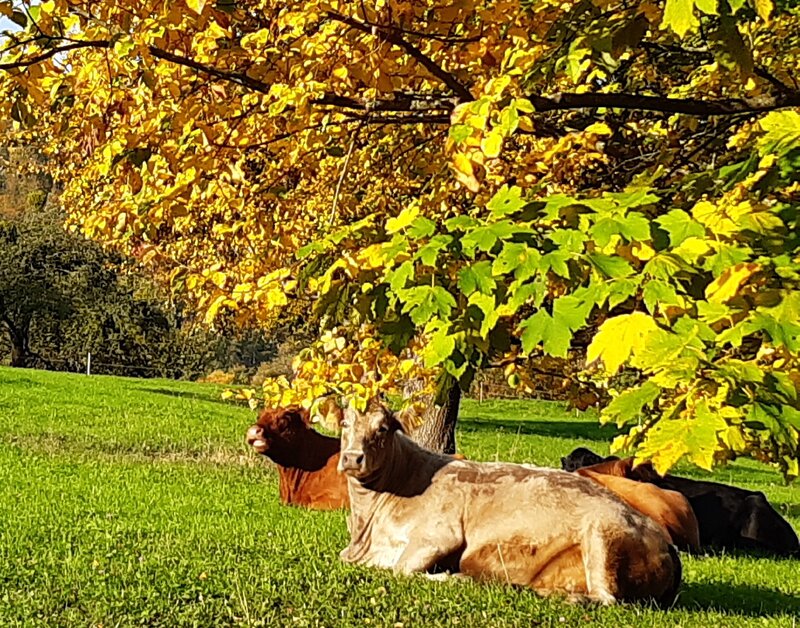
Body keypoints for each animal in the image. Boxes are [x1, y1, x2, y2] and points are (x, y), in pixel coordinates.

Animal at [338, 400, 680, 604]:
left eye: (382, 428)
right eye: (345, 424)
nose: (353, 458)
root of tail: (664, 539)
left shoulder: (440, 533)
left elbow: (401, 570)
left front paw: (455, 578)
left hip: (603, 536)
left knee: (606, 597)